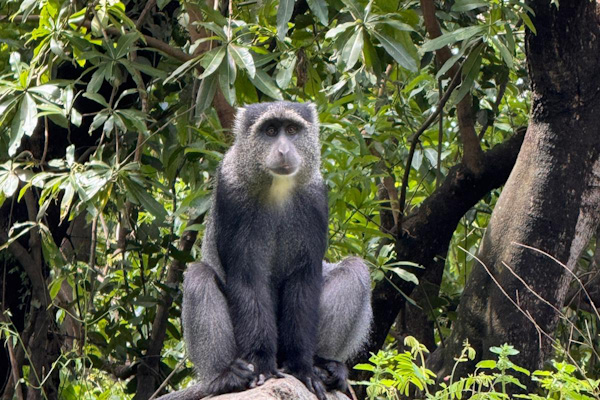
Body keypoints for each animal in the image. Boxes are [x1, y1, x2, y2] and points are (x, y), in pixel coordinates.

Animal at [162, 101, 372, 400]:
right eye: (271, 131)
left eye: (292, 130)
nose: (283, 150)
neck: (277, 188)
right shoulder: (231, 192)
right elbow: (248, 277)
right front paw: (261, 364)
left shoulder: (316, 198)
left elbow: (304, 278)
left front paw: (304, 368)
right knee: (198, 275)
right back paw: (224, 378)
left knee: (356, 269)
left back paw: (325, 366)